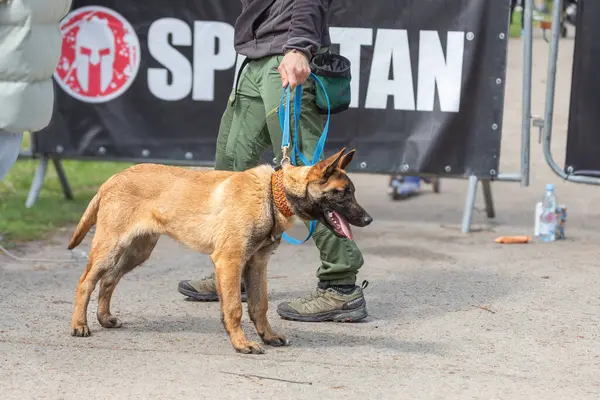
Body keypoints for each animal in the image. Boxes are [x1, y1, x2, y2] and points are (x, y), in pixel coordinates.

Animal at [68, 147, 372, 354]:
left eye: (353, 192)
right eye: (343, 193)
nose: (368, 219)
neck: (272, 194)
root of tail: (113, 178)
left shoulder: (256, 264)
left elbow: (260, 305)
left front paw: (267, 336)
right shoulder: (230, 262)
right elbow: (235, 308)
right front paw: (241, 343)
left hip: (137, 251)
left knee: (109, 280)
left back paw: (104, 318)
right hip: (110, 247)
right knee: (85, 282)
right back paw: (79, 325)